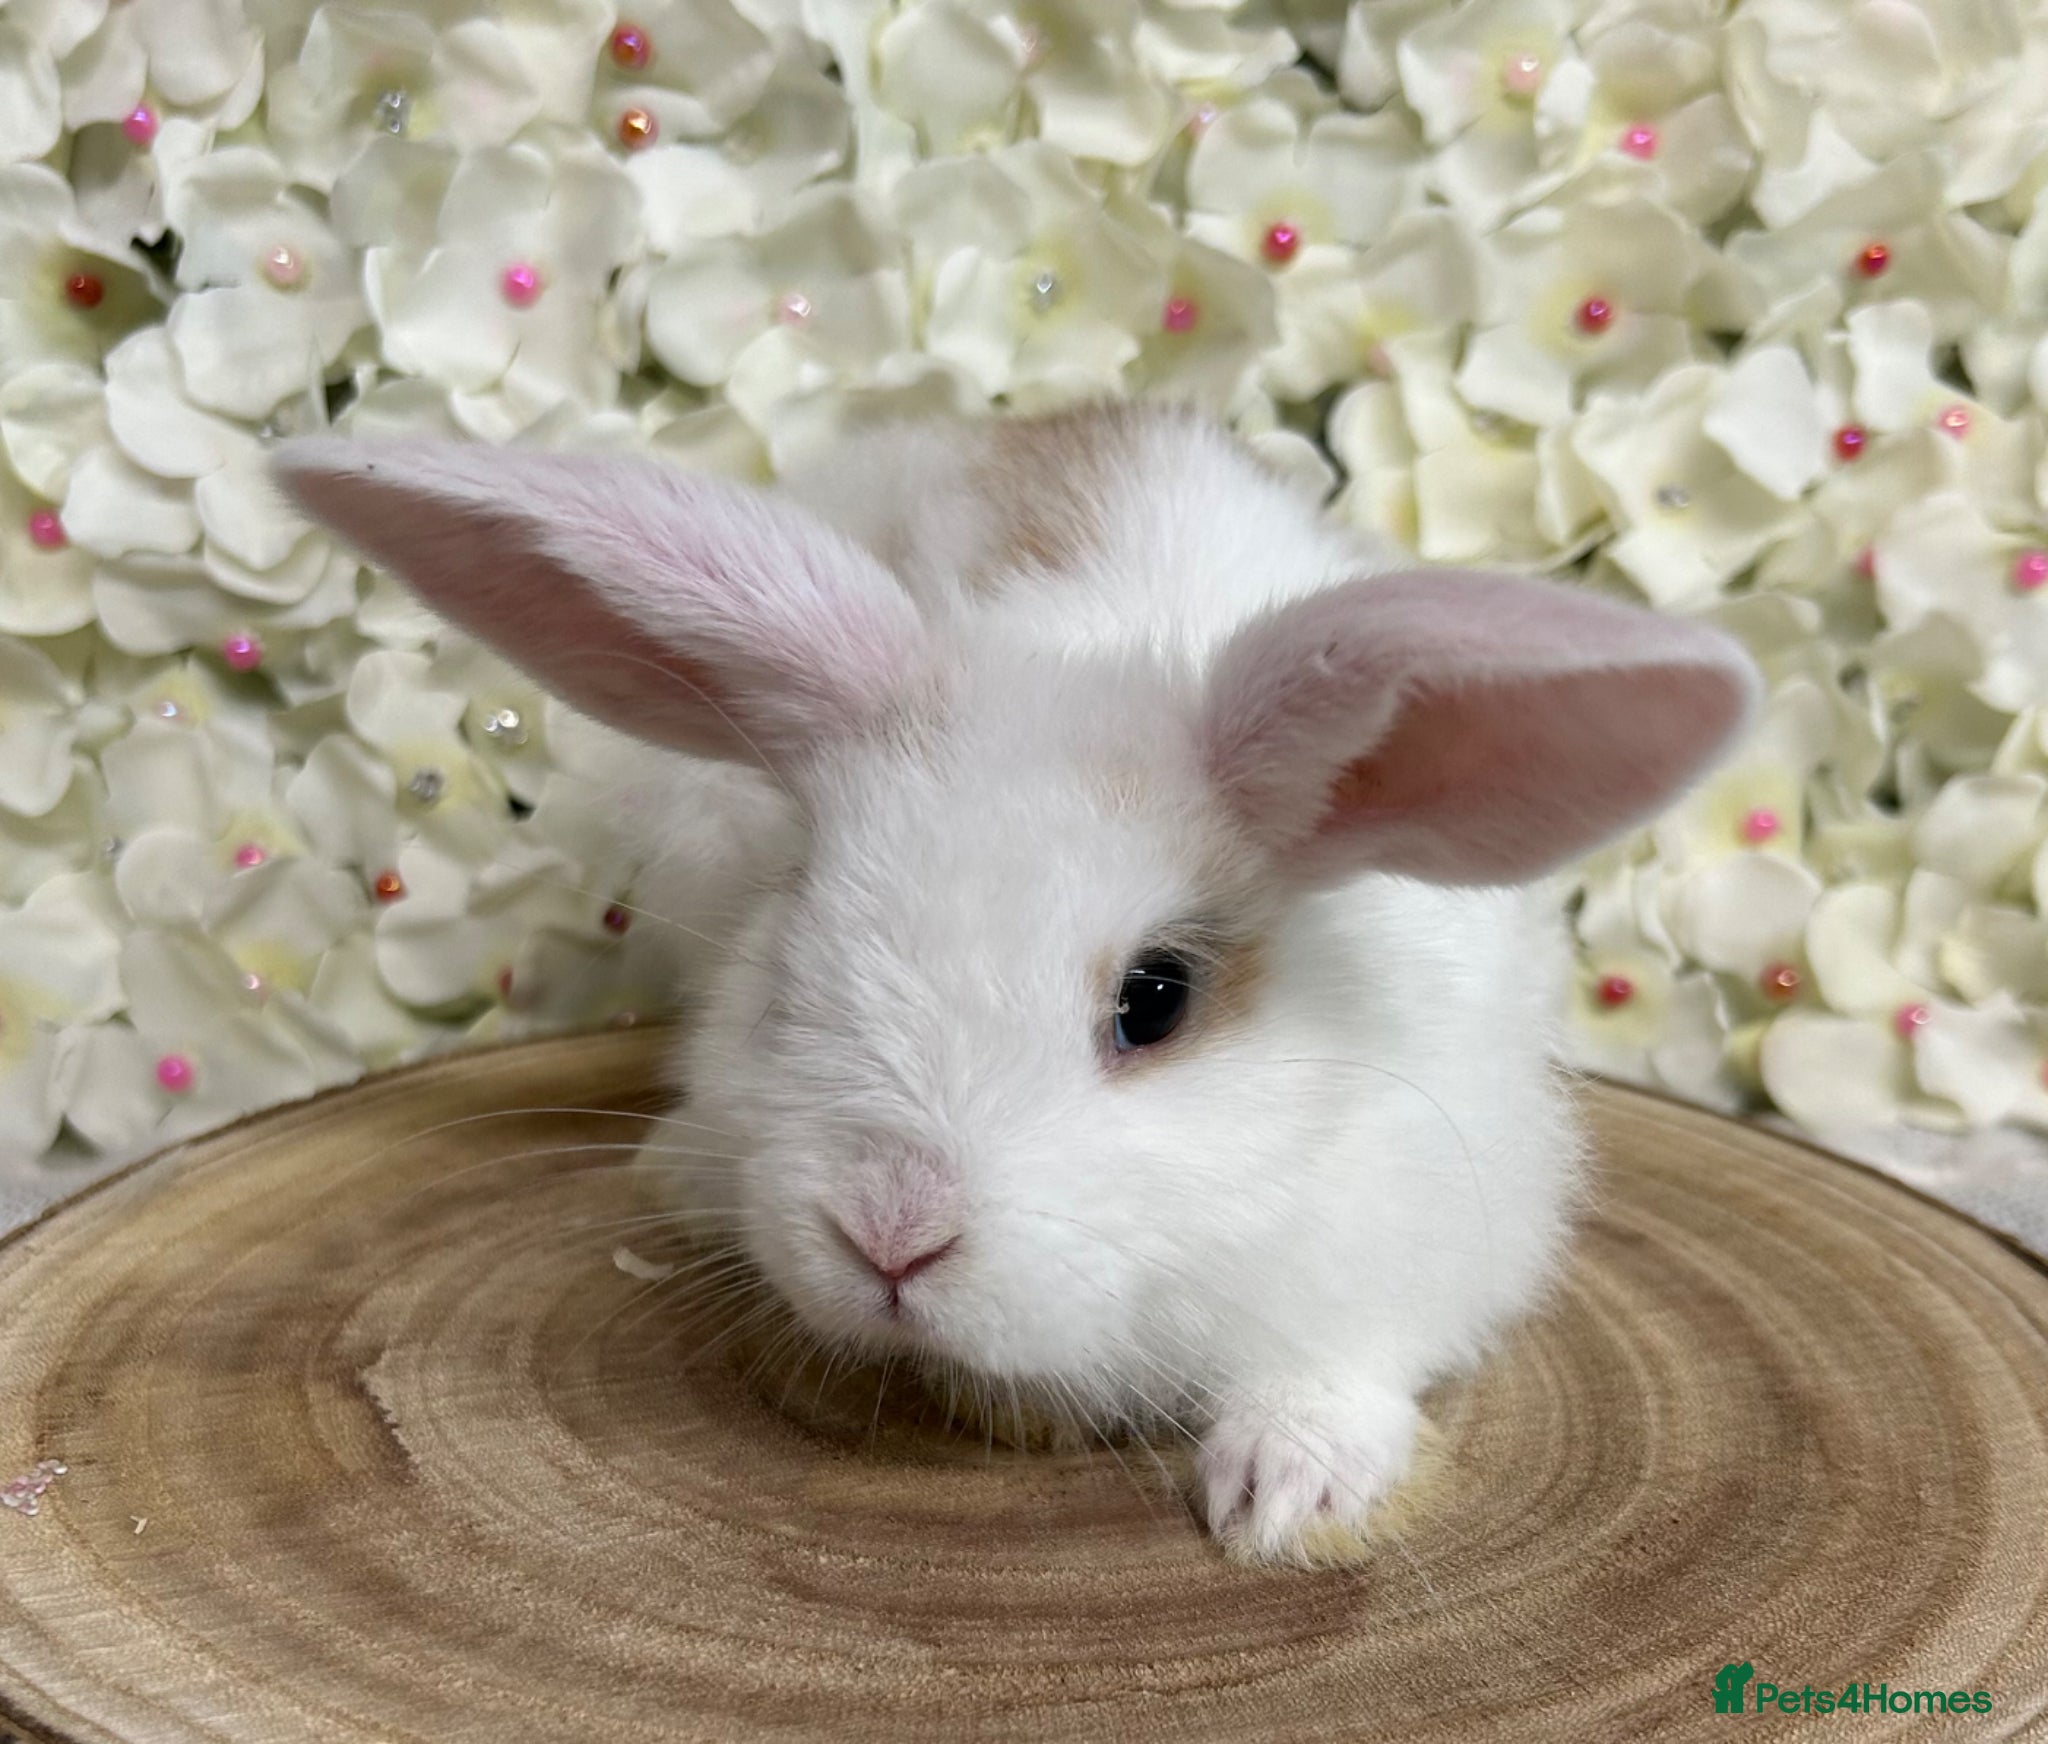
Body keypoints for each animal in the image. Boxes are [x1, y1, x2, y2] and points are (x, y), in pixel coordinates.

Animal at [274, 403, 1759, 1565]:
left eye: (1154, 1000)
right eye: (796, 943)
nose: (888, 1237)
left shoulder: (1423, 1222)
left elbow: (1341, 1368)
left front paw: (1283, 1497)